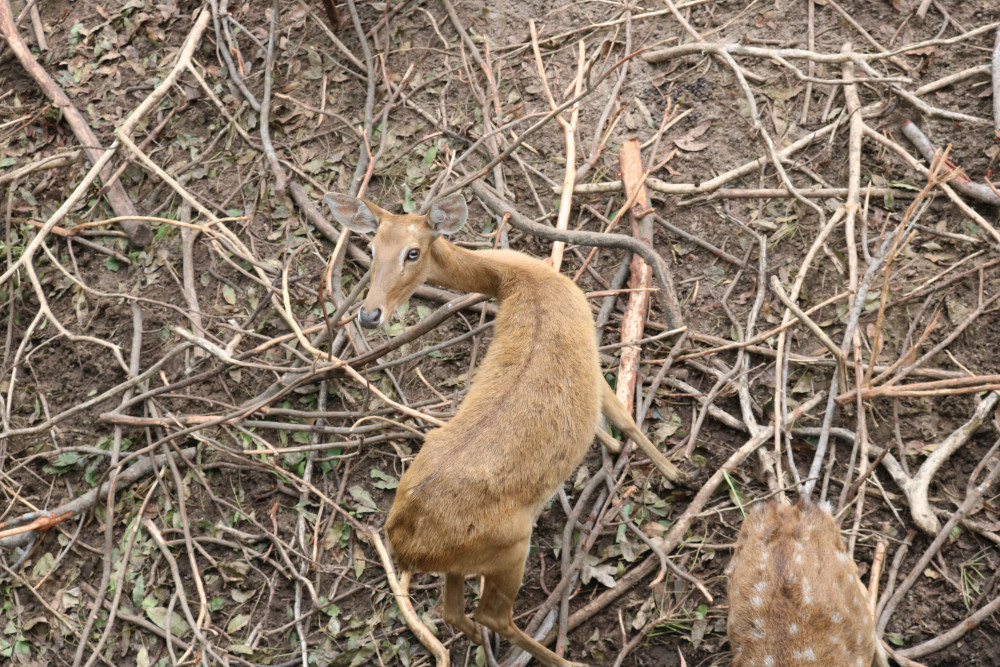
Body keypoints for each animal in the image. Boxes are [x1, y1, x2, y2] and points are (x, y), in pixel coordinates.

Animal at [328, 192, 688, 667]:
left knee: (451, 611)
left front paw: (619, 450)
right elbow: (623, 415)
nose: (369, 315)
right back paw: (561, 658)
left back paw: (480, 645)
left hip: (461, 563)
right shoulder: (591, 350)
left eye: (412, 252)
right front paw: (676, 474)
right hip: (509, 546)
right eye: (371, 250)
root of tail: (406, 545)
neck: (522, 280)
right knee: (493, 615)